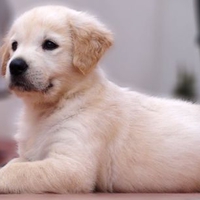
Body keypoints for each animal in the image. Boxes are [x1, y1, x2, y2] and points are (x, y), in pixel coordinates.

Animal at [0, 5, 200, 194]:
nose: (15, 65)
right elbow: (13, 163)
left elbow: (19, 171)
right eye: (14, 45)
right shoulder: (30, 155)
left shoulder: (72, 165)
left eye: (49, 44)